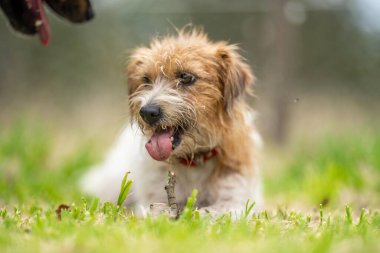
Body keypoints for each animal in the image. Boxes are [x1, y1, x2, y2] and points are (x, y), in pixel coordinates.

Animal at [82, 28, 262, 216]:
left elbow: (211, 212)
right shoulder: (154, 199)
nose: (147, 112)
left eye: (186, 77)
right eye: (146, 79)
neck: (194, 161)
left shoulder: (235, 198)